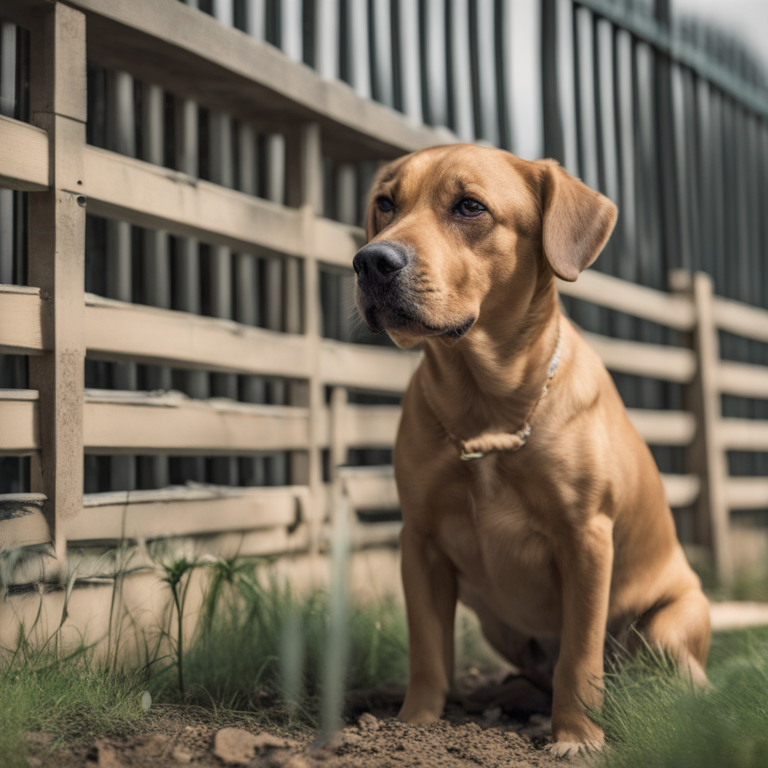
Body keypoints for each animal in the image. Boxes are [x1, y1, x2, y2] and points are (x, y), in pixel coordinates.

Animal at [352, 142, 712, 756]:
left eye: (470, 206)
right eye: (385, 203)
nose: (371, 261)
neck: (487, 409)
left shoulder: (586, 537)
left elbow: (579, 656)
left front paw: (578, 737)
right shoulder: (420, 540)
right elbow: (428, 651)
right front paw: (414, 726)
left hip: (667, 625)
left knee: (687, 685)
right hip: (502, 625)